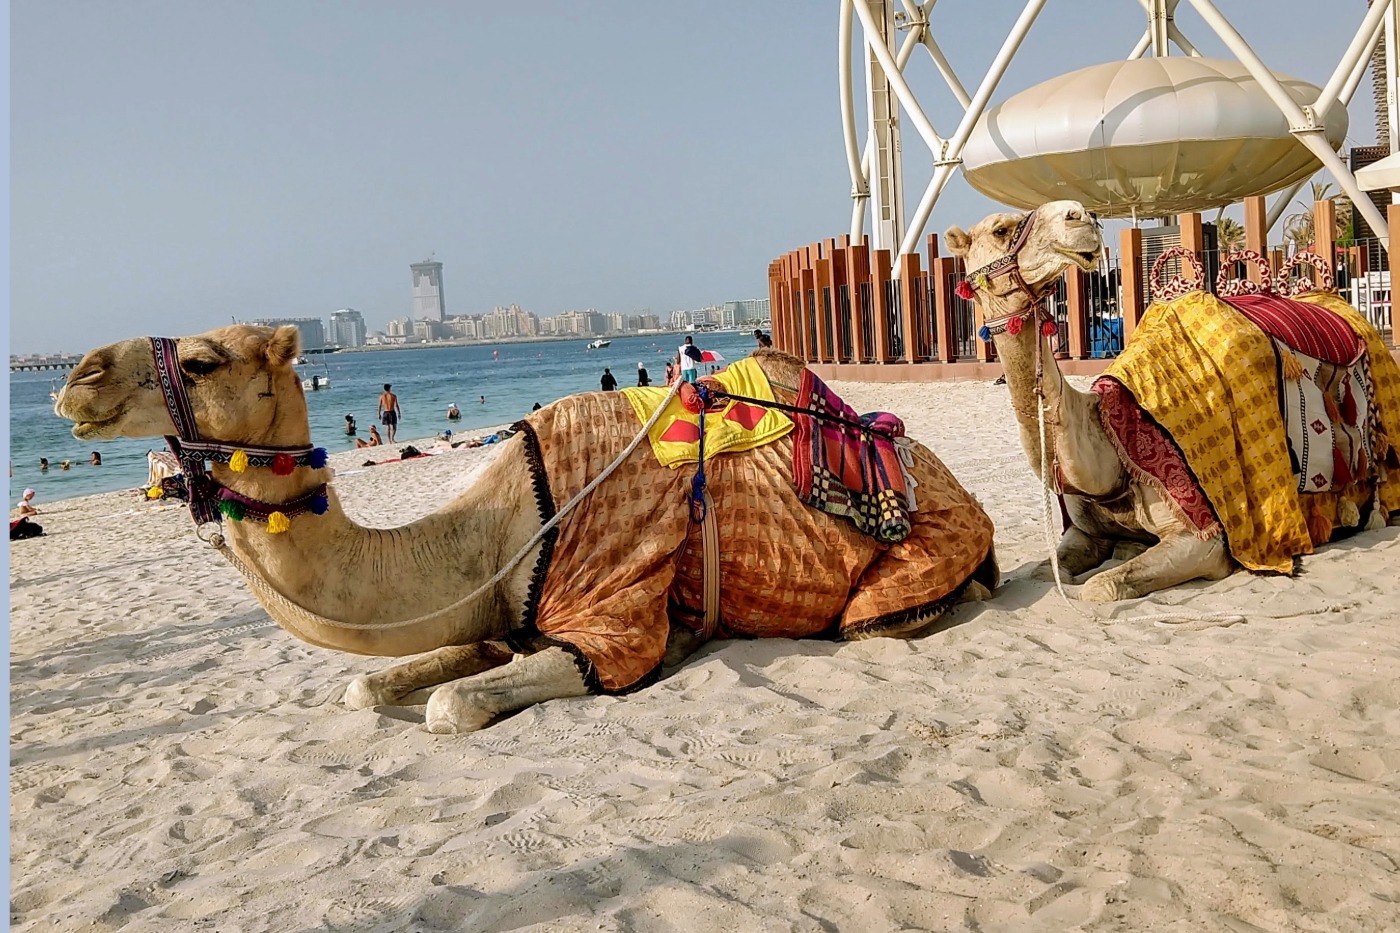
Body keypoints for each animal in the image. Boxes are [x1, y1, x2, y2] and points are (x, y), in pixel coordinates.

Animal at [56, 326, 998, 733]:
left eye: (204, 360)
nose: (76, 377)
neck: (499, 520)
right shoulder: (497, 615)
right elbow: (368, 684)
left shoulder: (609, 609)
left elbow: (448, 705)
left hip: (902, 575)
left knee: (879, 614)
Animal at [945, 199, 1399, 601]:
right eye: (1001, 229)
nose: (1080, 215)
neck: (1110, 448)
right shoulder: (1084, 531)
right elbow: (1044, 572)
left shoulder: (1203, 535)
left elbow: (1100, 587)